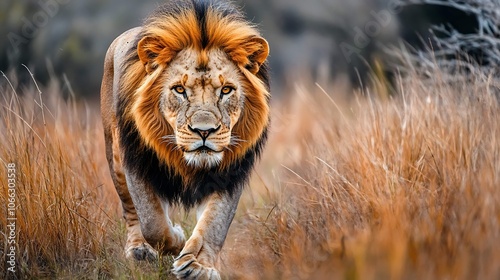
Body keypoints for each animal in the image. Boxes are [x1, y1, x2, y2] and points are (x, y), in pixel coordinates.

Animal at [98, 1, 270, 278]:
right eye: (179, 89)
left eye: (226, 90)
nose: (204, 131)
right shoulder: (135, 162)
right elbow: (153, 224)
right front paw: (178, 239)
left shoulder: (229, 174)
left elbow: (214, 223)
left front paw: (197, 265)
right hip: (114, 158)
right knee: (131, 211)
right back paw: (138, 250)